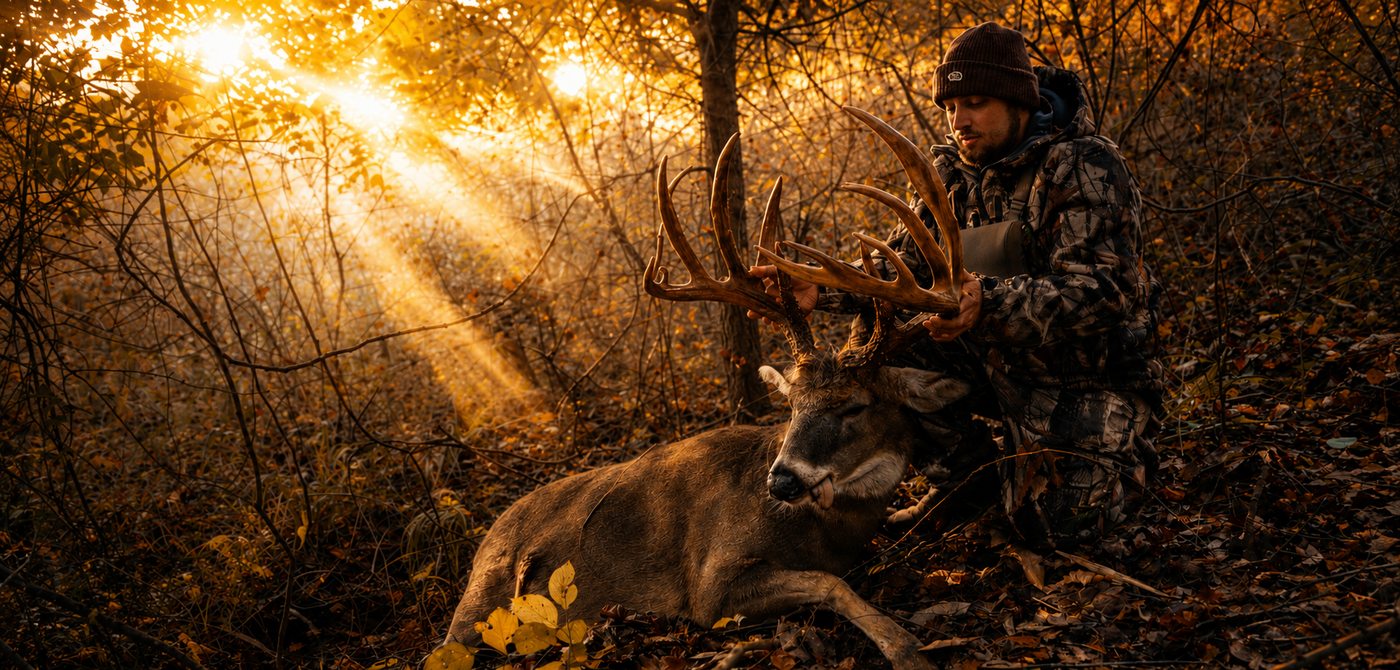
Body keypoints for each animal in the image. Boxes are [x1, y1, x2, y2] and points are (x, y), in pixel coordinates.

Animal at [441, 107, 967, 670]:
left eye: (855, 407)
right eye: (791, 405)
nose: (781, 481)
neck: (822, 529)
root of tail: (482, 543)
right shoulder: (711, 583)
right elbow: (831, 584)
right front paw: (907, 647)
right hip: (475, 614)